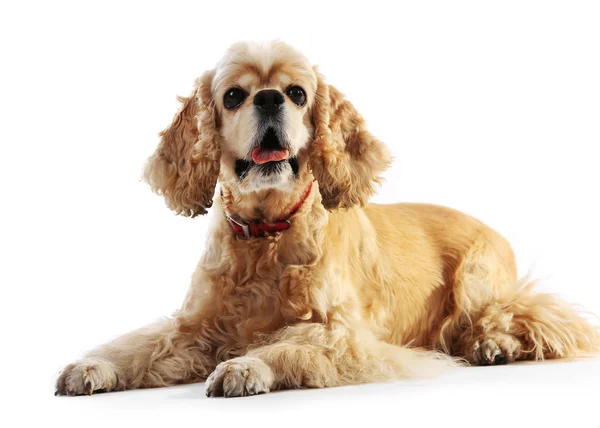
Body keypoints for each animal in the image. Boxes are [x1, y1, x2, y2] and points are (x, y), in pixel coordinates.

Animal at [54, 41, 596, 398]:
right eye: (233, 96)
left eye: (296, 93)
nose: (269, 98)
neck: (266, 234)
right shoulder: (194, 325)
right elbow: (139, 344)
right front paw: (94, 365)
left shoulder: (341, 335)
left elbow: (286, 345)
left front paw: (245, 366)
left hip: (477, 283)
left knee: (527, 318)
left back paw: (492, 344)